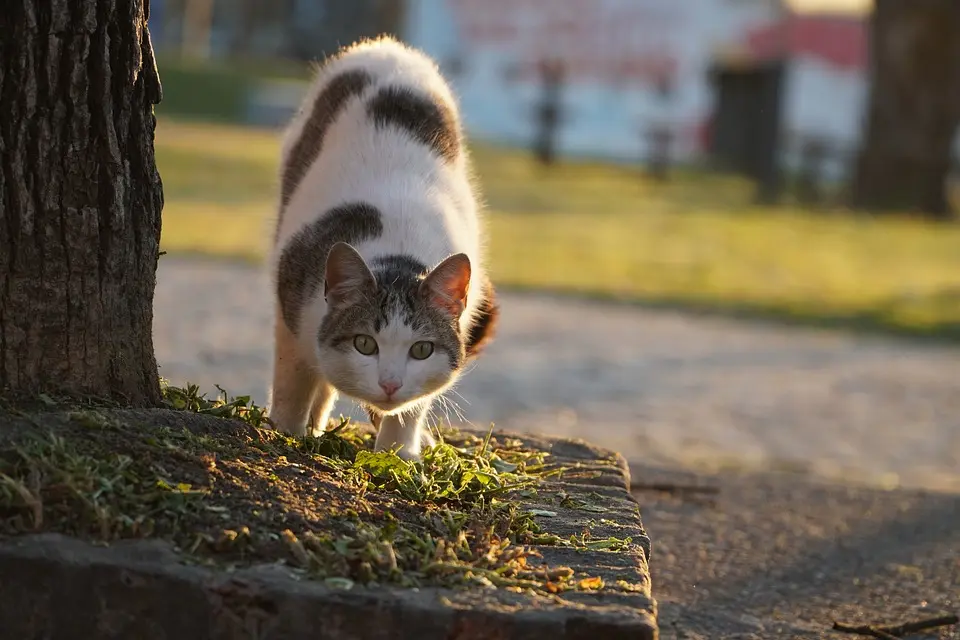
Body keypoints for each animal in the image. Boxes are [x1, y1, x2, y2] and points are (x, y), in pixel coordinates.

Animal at [266, 36, 498, 460]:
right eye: (364, 344)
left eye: (421, 350)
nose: (390, 384)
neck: (397, 256)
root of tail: (386, 46)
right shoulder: (290, 307)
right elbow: (293, 380)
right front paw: (285, 431)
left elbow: (411, 409)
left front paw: (398, 453)